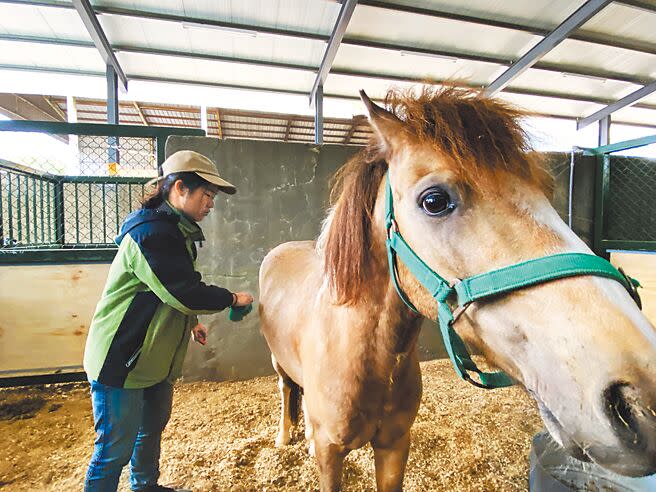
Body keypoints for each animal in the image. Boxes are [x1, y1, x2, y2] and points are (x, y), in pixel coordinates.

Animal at [256, 86, 656, 490]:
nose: (640, 394)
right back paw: (285, 436)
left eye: (547, 191)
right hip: (276, 363)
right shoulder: (331, 455)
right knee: (286, 389)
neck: (360, 351)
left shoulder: (394, 444)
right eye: (434, 201)